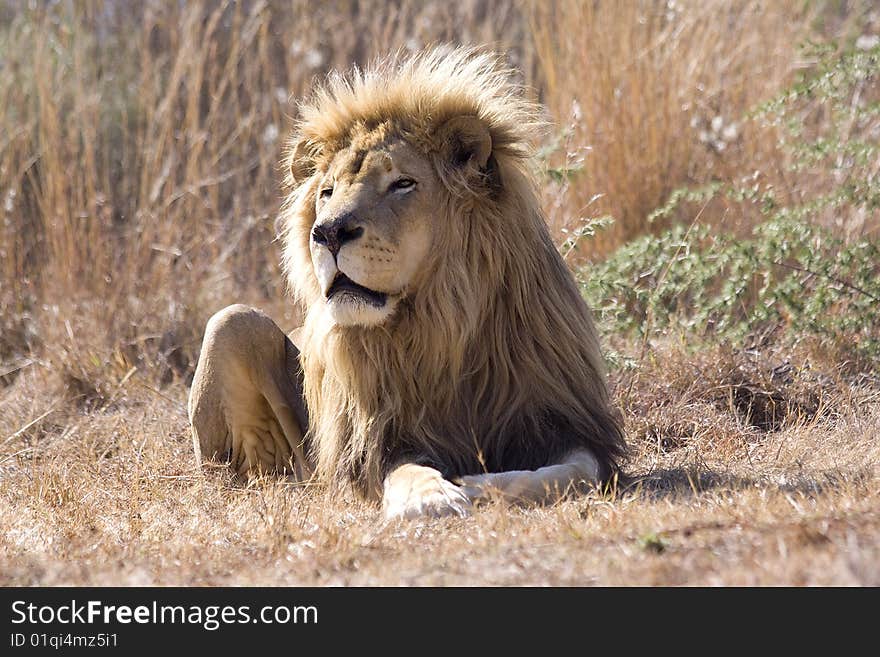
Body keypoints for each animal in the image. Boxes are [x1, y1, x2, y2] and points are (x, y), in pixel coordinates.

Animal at [187, 44, 624, 516]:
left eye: (402, 183)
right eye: (326, 192)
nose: (327, 233)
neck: (441, 321)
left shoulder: (561, 420)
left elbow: (575, 471)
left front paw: (480, 484)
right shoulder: (376, 444)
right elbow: (409, 471)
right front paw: (434, 496)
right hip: (232, 325)